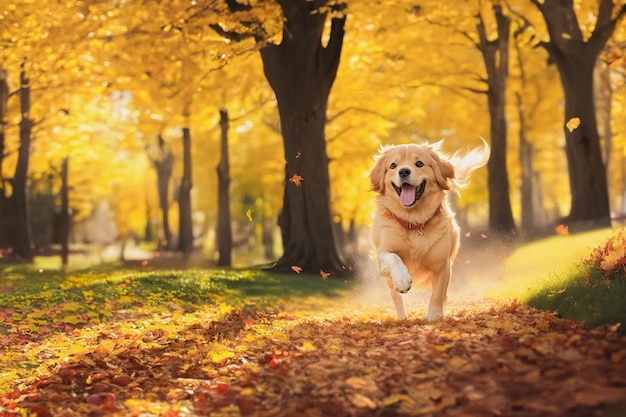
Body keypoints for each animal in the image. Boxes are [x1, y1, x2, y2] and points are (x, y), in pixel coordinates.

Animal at [368, 139, 490, 318]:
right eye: (393, 165)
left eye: (419, 163)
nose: (403, 171)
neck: (414, 221)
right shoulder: (382, 252)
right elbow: (393, 258)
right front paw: (403, 279)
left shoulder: (442, 265)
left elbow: (438, 294)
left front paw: (435, 316)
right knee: (396, 297)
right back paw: (401, 316)